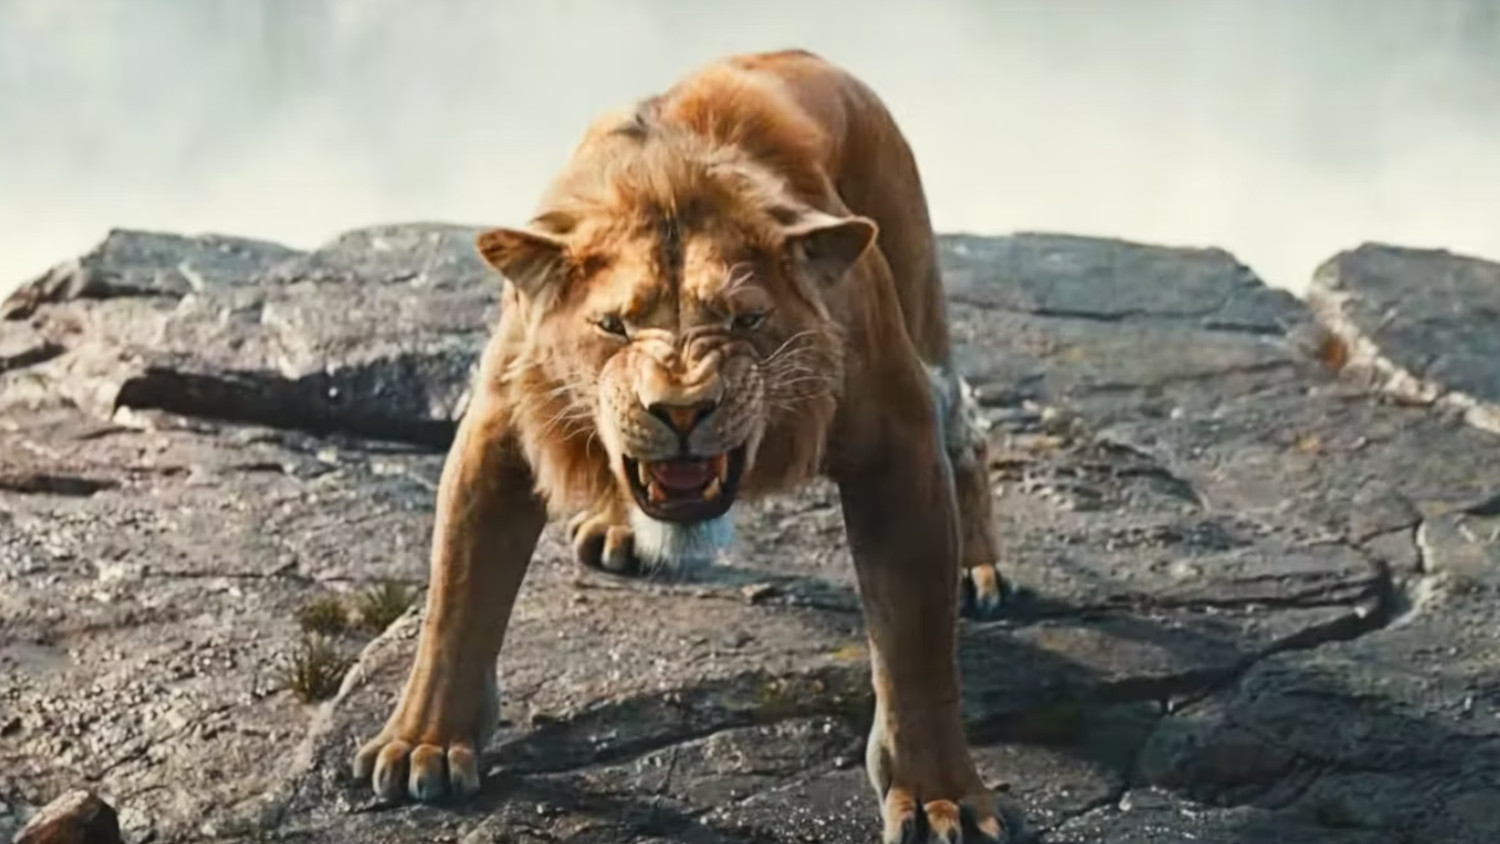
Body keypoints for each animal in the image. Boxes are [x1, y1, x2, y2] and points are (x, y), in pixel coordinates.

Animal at [352, 49, 1010, 843]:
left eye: (744, 318)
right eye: (614, 326)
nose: (681, 409)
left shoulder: (897, 441)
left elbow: (916, 648)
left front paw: (942, 796)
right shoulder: (502, 425)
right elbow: (456, 598)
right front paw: (422, 743)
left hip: (916, 288)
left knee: (967, 429)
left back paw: (978, 571)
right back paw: (614, 529)